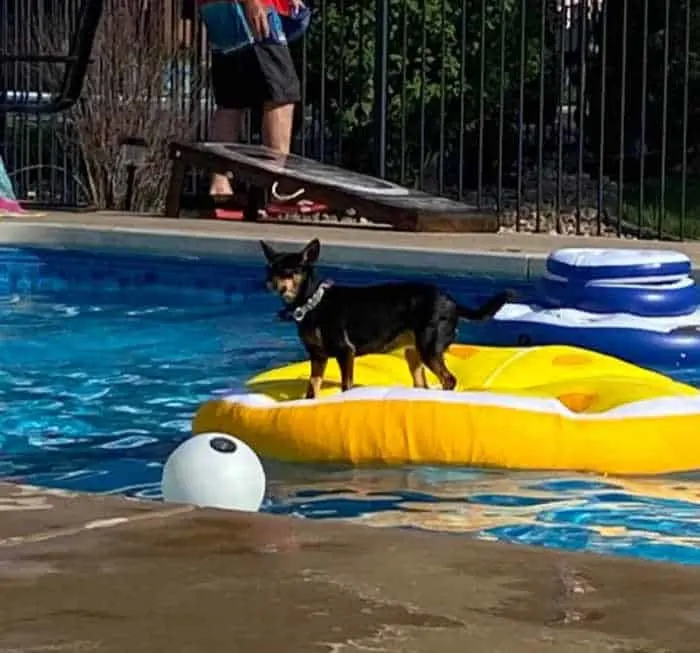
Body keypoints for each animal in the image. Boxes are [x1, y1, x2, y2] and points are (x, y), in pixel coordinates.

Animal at [260, 238, 512, 398]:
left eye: (286, 272)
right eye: (269, 270)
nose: (267, 283)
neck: (313, 302)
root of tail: (451, 300)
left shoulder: (345, 352)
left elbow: (346, 385)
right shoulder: (317, 357)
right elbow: (312, 390)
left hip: (429, 348)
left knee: (449, 380)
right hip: (414, 353)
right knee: (423, 385)